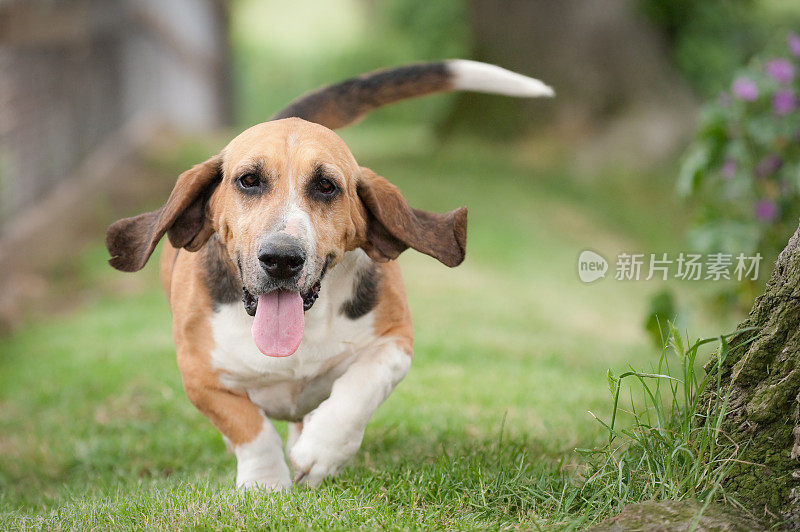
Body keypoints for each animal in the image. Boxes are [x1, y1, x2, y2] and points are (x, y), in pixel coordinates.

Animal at [104, 60, 552, 488]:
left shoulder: (395, 343)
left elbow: (361, 387)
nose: (282, 258)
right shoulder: (199, 375)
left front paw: (321, 452)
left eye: (326, 186)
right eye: (248, 180)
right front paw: (266, 484)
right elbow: (250, 428)